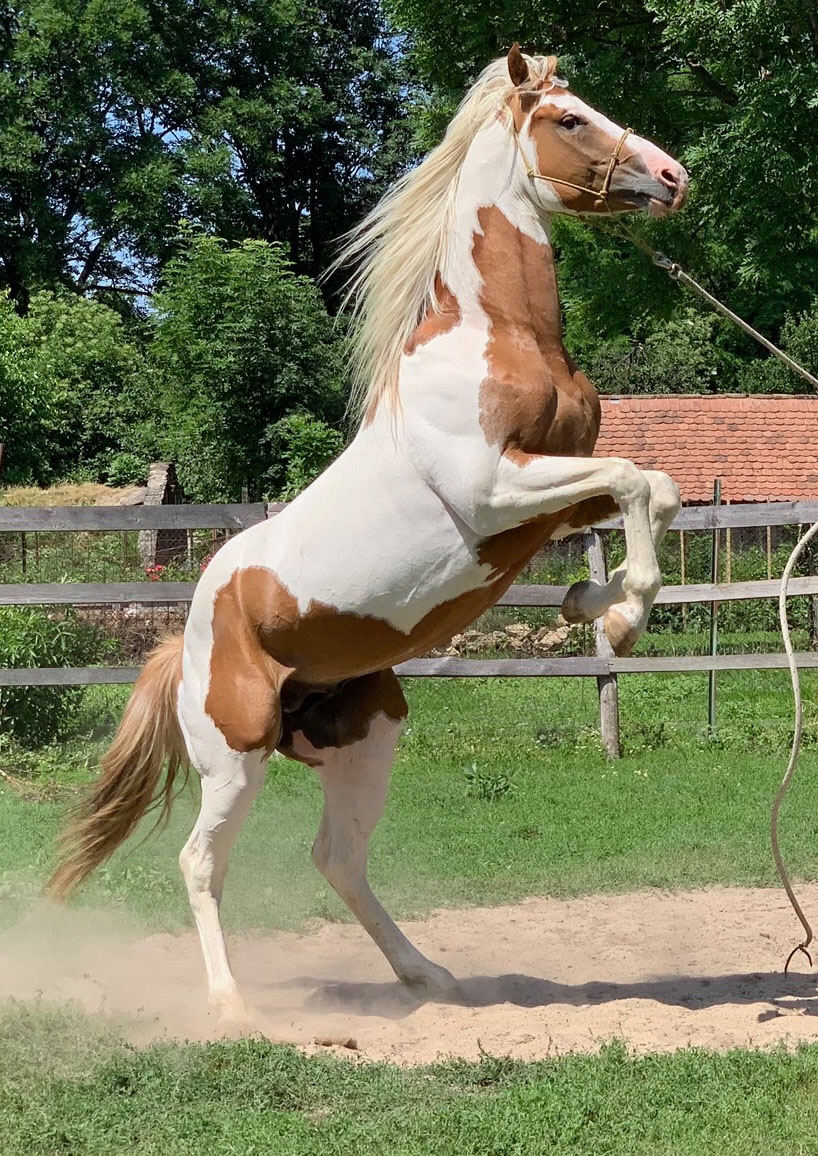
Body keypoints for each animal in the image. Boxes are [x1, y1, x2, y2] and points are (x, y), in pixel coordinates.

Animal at [48, 45, 688, 1021]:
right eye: (570, 118)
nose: (672, 176)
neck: (499, 339)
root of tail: (183, 644)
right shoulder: (495, 491)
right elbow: (631, 481)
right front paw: (616, 613)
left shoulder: (546, 501)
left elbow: (657, 490)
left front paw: (592, 602)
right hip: (233, 759)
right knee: (201, 863)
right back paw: (233, 1006)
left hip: (367, 734)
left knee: (338, 860)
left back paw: (429, 977)